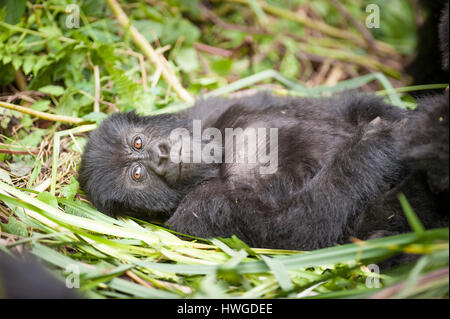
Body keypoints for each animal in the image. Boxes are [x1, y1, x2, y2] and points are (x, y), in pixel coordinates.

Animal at [78, 94, 446, 251]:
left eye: (138, 142)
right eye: (138, 175)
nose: (161, 155)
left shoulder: (217, 107)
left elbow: (346, 107)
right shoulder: (203, 210)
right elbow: (301, 226)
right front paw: (370, 146)